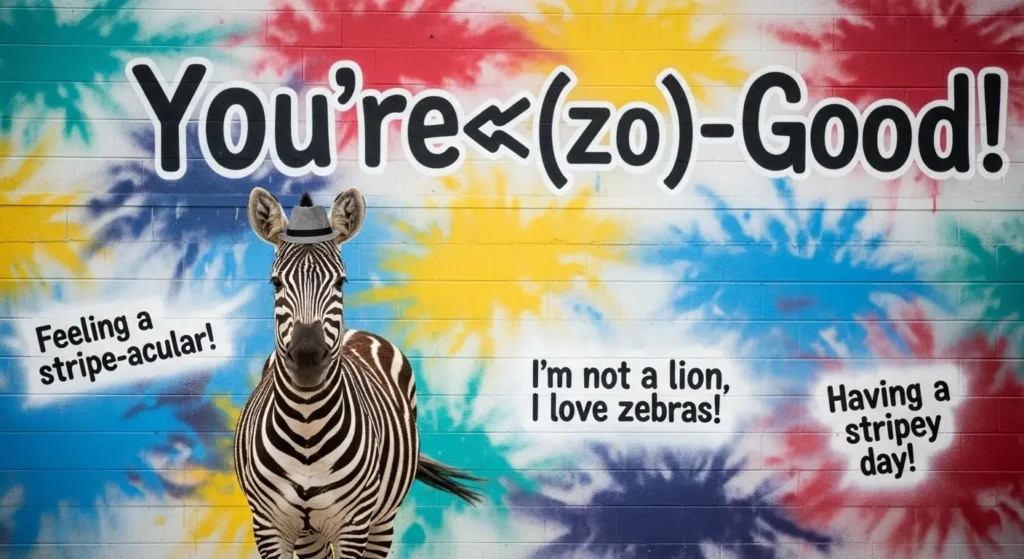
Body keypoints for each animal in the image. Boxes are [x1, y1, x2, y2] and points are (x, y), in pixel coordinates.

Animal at [235, 186, 483, 559]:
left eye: (341, 281)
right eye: (275, 282)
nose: (308, 358)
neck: (306, 430)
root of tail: (357, 333)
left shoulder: (353, 526)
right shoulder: (267, 528)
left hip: (381, 520)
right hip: (310, 536)